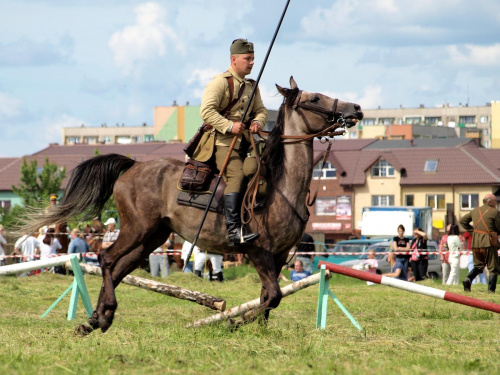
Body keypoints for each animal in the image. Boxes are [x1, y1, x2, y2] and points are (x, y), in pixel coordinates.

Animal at [26, 77, 364, 334]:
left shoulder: (279, 256)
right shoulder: (259, 251)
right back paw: (102, 317)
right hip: (137, 229)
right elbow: (273, 295)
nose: (357, 109)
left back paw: (96, 320)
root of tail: (133, 166)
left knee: (119, 268)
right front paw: (234, 323)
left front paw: (257, 329)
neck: (280, 187)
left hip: (154, 237)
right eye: (316, 98)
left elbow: (268, 298)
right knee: (107, 259)